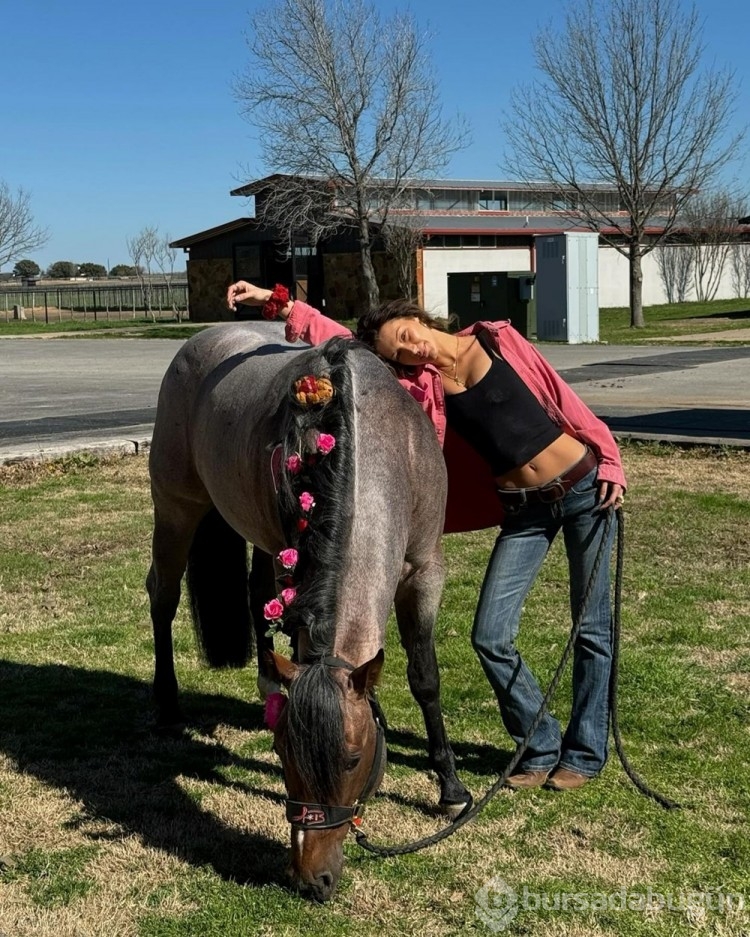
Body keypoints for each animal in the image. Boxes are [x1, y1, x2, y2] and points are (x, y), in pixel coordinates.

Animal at [146, 328, 470, 900]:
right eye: (282, 755)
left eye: (353, 759)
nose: (310, 879)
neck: (375, 441)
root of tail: (201, 340)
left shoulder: (425, 569)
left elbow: (425, 677)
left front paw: (450, 786)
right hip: (177, 509)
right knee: (162, 598)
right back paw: (166, 703)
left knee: (253, 592)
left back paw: (263, 680)